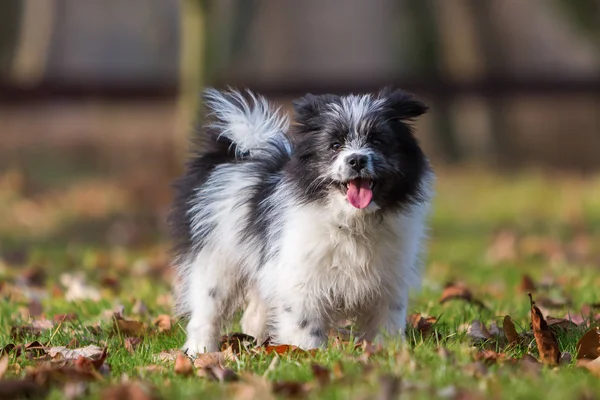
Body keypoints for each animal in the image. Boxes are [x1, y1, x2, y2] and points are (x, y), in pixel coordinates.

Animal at [171, 87, 434, 354]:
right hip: (216, 263)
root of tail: (240, 155)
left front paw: (388, 352)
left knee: (253, 313)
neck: (351, 222)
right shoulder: (301, 282)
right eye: (335, 145)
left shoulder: (389, 284)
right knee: (206, 312)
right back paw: (200, 350)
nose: (357, 160)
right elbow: (304, 325)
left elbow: (387, 323)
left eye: (378, 141)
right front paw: (307, 354)